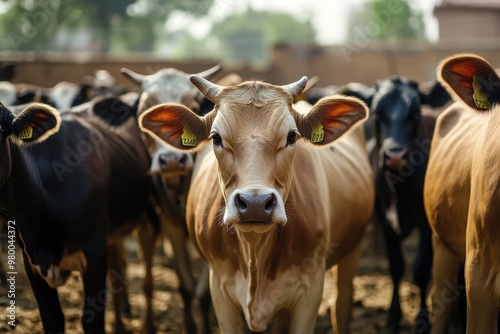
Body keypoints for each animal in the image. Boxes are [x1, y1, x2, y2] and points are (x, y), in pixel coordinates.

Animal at [139, 76, 374, 334]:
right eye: (216, 138)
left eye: (292, 136)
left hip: (354, 244)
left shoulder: (310, 291)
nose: (255, 203)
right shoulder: (219, 287)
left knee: (341, 304)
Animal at [354, 77, 452, 332]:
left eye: (415, 112)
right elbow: (396, 267)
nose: (395, 156)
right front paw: (393, 318)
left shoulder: (426, 224)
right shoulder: (385, 220)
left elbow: (421, 270)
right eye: (377, 113)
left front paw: (422, 320)